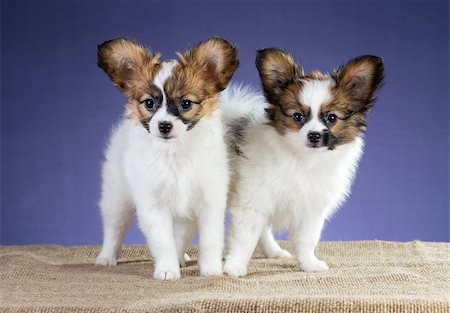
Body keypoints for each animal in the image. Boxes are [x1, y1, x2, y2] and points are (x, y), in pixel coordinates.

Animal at [95, 37, 239, 280]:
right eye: (149, 103)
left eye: (186, 104)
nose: (164, 125)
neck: (175, 152)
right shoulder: (153, 205)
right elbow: (163, 241)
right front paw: (166, 270)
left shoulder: (209, 201)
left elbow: (210, 240)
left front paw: (210, 269)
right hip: (116, 197)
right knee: (114, 228)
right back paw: (106, 257)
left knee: (181, 234)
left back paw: (182, 257)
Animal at [221, 48, 384, 276]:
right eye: (297, 117)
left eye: (332, 118)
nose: (314, 135)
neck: (303, 160)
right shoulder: (252, 201)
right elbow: (245, 238)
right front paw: (235, 267)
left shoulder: (311, 209)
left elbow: (307, 240)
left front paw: (309, 264)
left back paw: (274, 251)